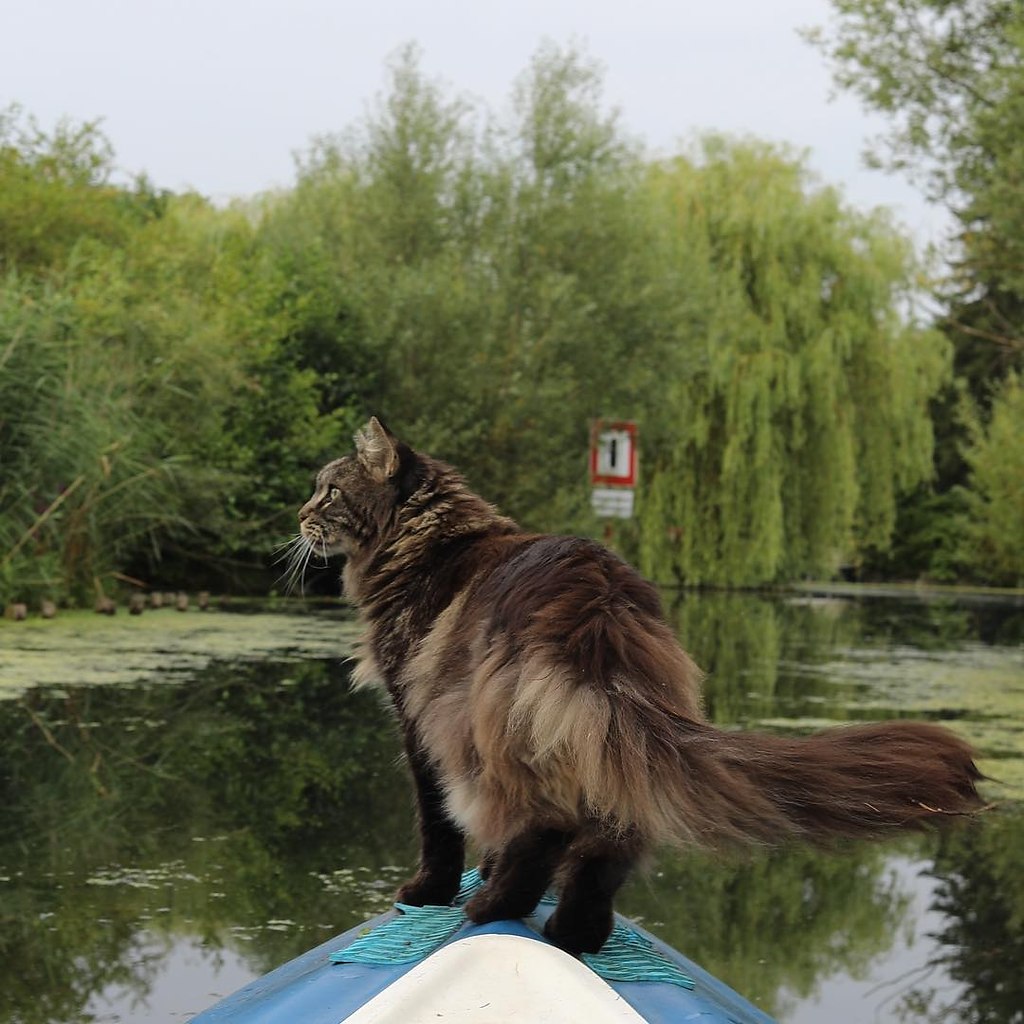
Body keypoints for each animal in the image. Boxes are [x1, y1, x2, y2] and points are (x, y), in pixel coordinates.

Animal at [296, 417, 983, 958]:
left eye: (328, 491)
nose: (299, 515)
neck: (426, 539)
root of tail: (593, 603)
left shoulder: (413, 718)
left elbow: (436, 824)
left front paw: (427, 893)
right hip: (599, 737)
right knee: (604, 843)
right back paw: (573, 933)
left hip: (474, 730)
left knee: (541, 826)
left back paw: (492, 906)